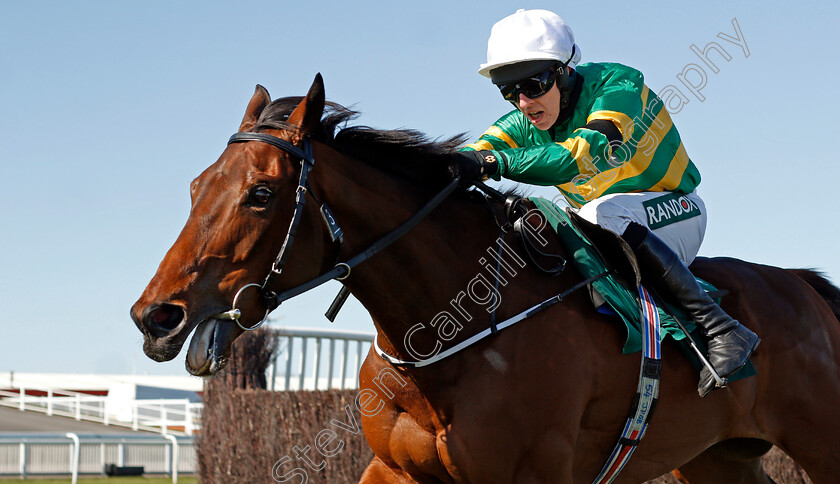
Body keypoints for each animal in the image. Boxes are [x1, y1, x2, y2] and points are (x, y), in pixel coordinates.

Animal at [130, 73, 840, 482]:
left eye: (260, 194)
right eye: (196, 186)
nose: (156, 316)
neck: (449, 330)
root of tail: (804, 286)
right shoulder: (396, 470)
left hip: (819, 442)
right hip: (718, 458)